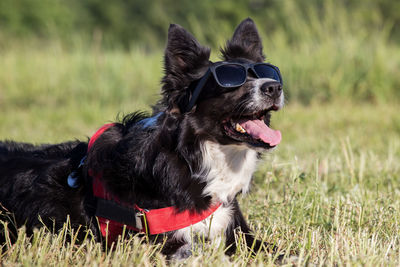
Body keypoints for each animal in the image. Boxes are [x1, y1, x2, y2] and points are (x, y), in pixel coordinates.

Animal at [1, 18, 286, 260]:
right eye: (231, 83)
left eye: (266, 73)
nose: (274, 87)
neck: (192, 157)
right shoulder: (155, 245)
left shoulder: (237, 231)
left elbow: (280, 251)